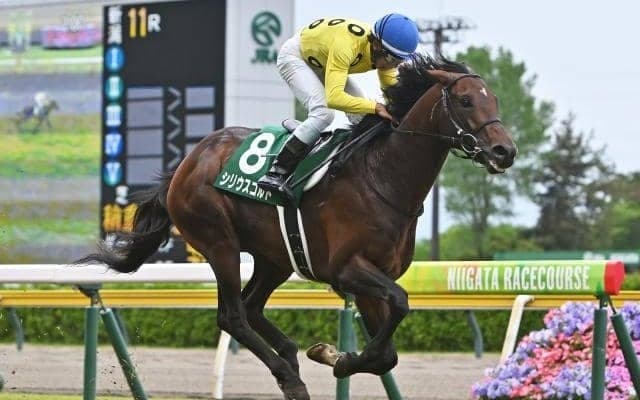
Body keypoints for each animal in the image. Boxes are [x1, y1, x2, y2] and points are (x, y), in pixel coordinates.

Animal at [75, 54, 517, 400]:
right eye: (465, 100)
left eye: (495, 99)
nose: (504, 151)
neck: (383, 178)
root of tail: (189, 160)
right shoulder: (346, 269)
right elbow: (401, 305)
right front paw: (337, 361)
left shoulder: (374, 277)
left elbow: (387, 351)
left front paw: (332, 355)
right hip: (218, 242)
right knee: (232, 316)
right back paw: (289, 377)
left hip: (276, 257)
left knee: (251, 307)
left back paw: (289, 355)